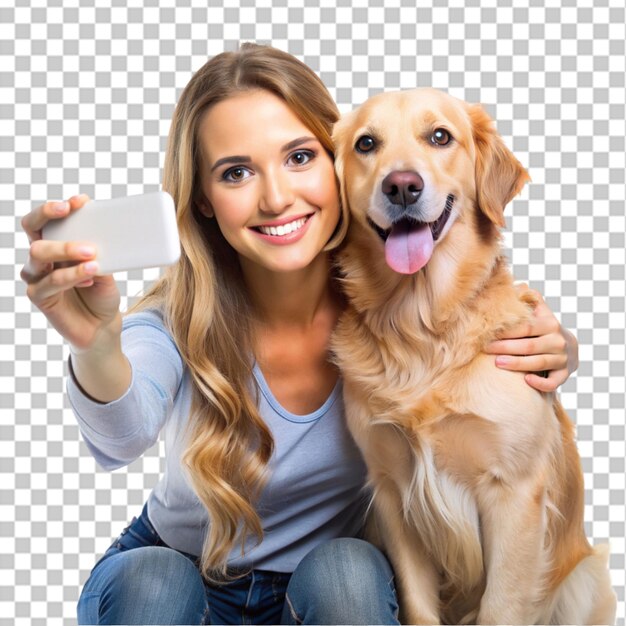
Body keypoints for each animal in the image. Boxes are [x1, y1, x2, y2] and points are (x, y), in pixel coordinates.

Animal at [332, 89, 616, 624]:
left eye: (440, 136)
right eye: (366, 144)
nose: (402, 186)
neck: (422, 329)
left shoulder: (515, 492)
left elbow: (501, 606)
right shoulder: (392, 490)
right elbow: (418, 603)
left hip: (587, 578)